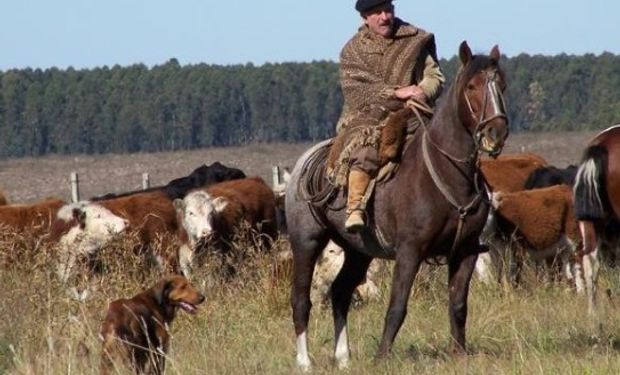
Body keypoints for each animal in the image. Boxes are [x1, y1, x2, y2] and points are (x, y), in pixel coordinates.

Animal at [286, 41, 508, 374]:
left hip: (358, 251)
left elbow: (458, 305)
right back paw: (304, 360)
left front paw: (459, 354)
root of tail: (304, 164)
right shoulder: (409, 251)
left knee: (340, 293)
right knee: (302, 299)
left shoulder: (466, 250)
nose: (496, 133)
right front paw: (382, 357)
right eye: (472, 86)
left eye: (501, 85)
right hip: (306, 242)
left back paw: (343, 357)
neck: (446, 173)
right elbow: (397, 305)